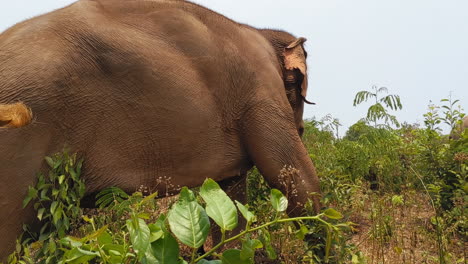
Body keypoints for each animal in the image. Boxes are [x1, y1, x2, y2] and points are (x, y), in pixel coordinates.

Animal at [0, 0, 322, 256]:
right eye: (300, 92)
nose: (302, 129)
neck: (263, 32)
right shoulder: (260, 91)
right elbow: (293, 179)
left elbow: (230, 201)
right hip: (26, 143)